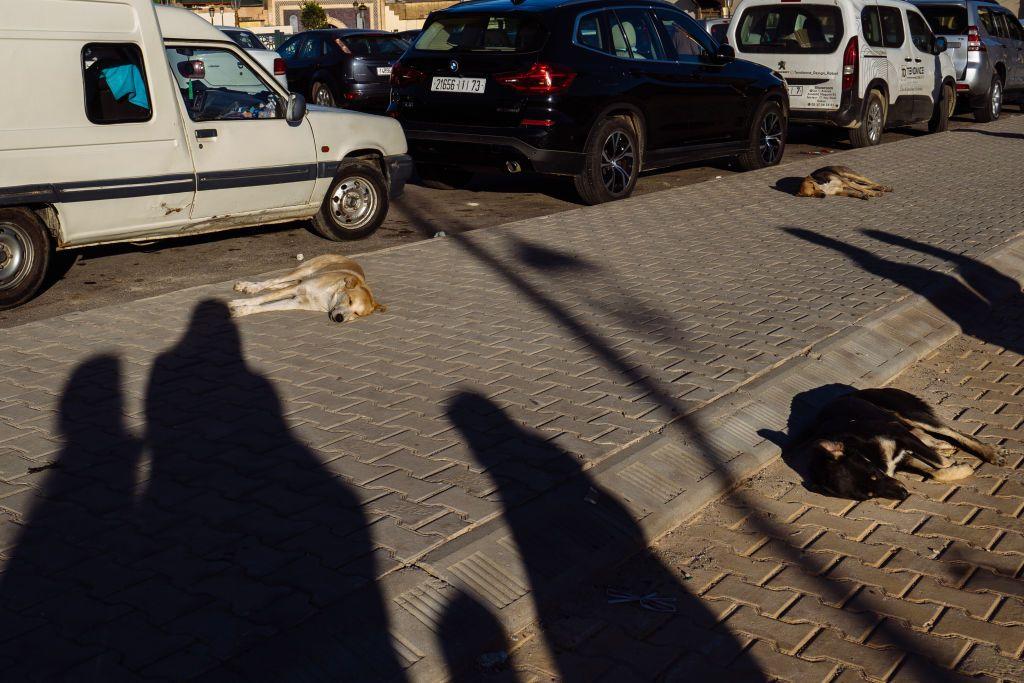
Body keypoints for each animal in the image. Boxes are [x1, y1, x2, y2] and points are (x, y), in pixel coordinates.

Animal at [230, 253, 385, 323]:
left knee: (280, 284)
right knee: (272, 281)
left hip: (299, 278)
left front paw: (243, 310)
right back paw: (250, 287)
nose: (340, 318)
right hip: (304, 270)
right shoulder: (297, 290)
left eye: (357, 314)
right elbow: (260, 299)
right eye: (350, 300)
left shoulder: (294, 302)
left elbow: (264, 306)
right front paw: (238, 303)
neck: (328, 297)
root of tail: (346, 257)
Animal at [802, 389, 1003, 501]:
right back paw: (942, 445)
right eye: (869, 496)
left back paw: (989, 452)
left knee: (954, 432)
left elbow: (939, 463)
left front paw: (956, 466)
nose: (904, 495)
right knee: (928, 437)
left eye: (874, 475)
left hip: (908, 414)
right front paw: (957, 468)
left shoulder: (899, 434)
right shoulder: (903, 456)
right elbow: (936, 472)